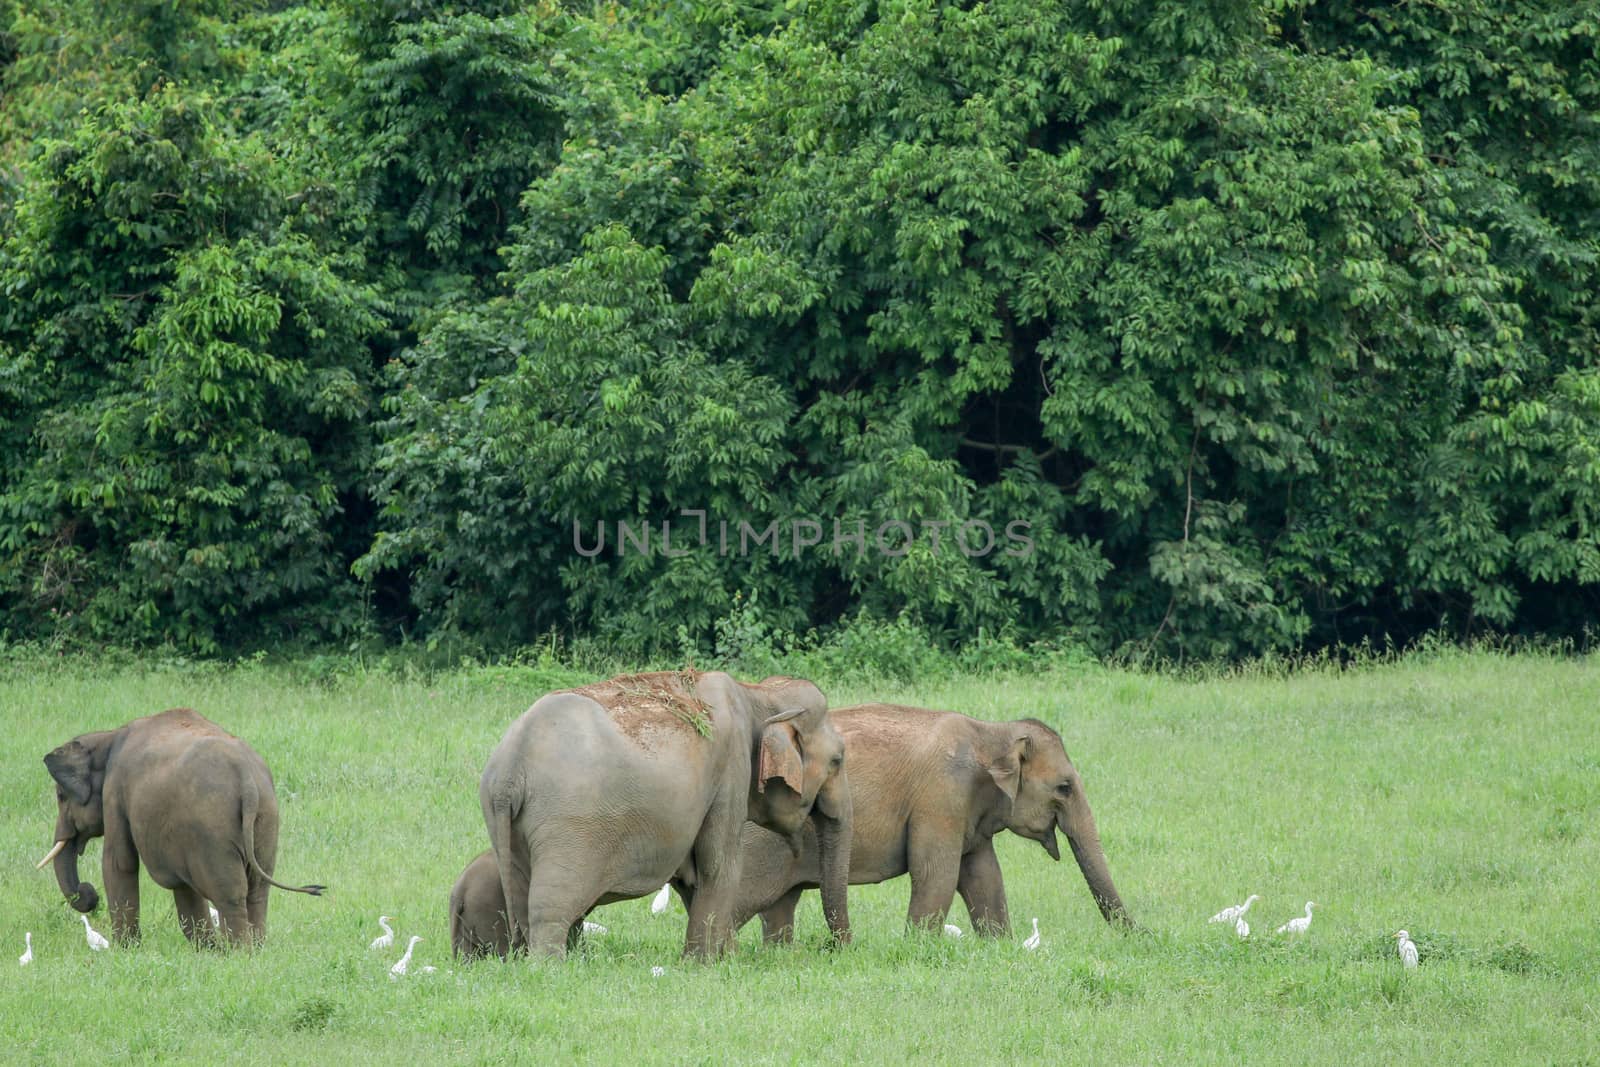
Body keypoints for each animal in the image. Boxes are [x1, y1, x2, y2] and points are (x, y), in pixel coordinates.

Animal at [37, 710, 323, 940]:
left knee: (229, 894)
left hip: (213, 832)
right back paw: (254, 951)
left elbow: (119, 863)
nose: (88, 893)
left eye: (61, 796)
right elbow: (183, 887)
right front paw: (208, 951)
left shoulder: (115, 793)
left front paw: (125, 950)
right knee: (257, 891)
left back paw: (240, 955)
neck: (108, 736)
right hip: (265, 822)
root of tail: (246, 778)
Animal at [473, 671, 851, 966]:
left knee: (521, 898)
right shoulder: (730, 772)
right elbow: (720, 866)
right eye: (837, 760)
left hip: (507, 823)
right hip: (566, 822)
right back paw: (552, 968)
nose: (835, 949)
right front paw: (702, 965)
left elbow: (692, 878)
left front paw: (720, 959)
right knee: (550, 905)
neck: (758, 693)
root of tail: (510, 769)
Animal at [732, 703, 1132, 940]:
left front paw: (999, 946)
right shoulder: (940, 798)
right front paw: (917, 949)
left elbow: (984, 876)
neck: (990, 731)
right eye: (1064, 787)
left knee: (780, 907)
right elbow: (936, 873)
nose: (1137, 936)